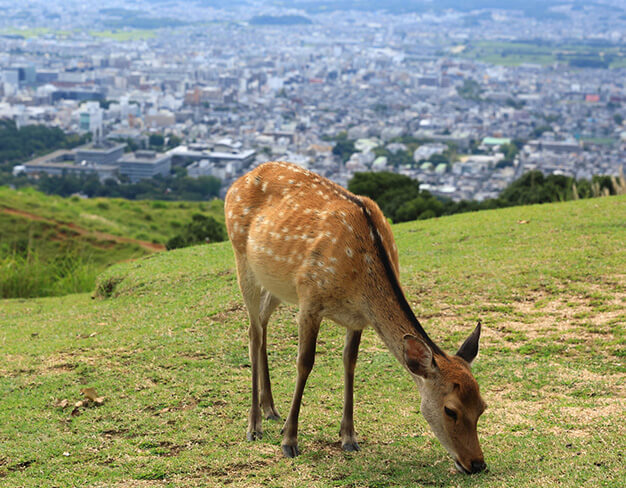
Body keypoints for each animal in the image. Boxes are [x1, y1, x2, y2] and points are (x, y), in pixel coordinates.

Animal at [224, 162, 488, 474]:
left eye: (482, 407)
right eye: (451, 410)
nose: (477, 463)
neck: (361, 281)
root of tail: (238, 181)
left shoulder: (358, 319)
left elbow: (350, 362)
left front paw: (348, 436)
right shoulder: (310, 299)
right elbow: (305, 363)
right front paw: (289, 440)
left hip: (277, 284)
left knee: (263, 323)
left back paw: (271, 409)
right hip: (243, 261)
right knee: (253, 332)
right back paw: (255, 425)